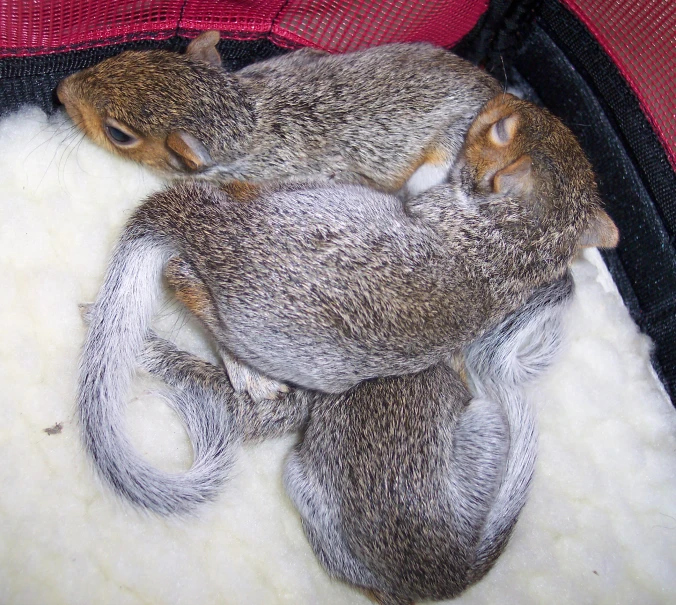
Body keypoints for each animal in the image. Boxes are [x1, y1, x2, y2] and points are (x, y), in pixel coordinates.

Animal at [78, 92, 616, 516]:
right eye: (516, 122)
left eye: (500, 129)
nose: (499, 95)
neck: (521, 243)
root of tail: (217, 233)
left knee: (183, 276)